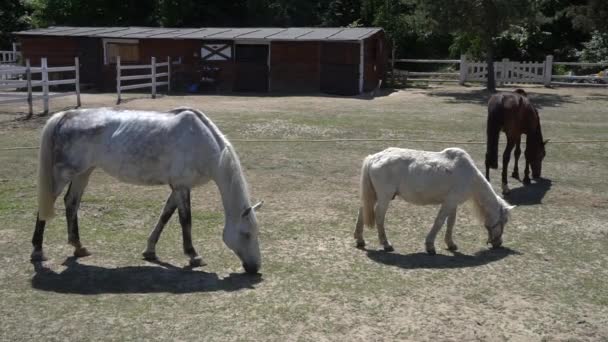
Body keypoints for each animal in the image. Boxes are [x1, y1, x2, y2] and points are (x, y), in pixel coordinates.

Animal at [31, 107, 262, 276]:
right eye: (246, 234)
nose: (255, 268)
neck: (200, 141)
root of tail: (65, 115)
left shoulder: (177, 187)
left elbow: (165, 216)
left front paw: (150, 250)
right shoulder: (182, 187)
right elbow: (185, 221)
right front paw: (193, 256)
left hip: (83, 173)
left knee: (71, 202)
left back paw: (79, 247)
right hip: (63, 175)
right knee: (46, 204)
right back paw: (38, 251)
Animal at [354, 147, 516, 254]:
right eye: (504, 221)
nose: (498, 243)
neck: (469, 175)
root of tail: (373, 158)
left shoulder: (453, 203)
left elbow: (451, 223)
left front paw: (451, 244)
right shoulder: (449, 203)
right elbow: (439, 222)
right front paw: (430, 245)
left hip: (374, 195)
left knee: (362, 211)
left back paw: (360, 239)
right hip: (384, 197)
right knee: (379, 216)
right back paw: (386, 244)